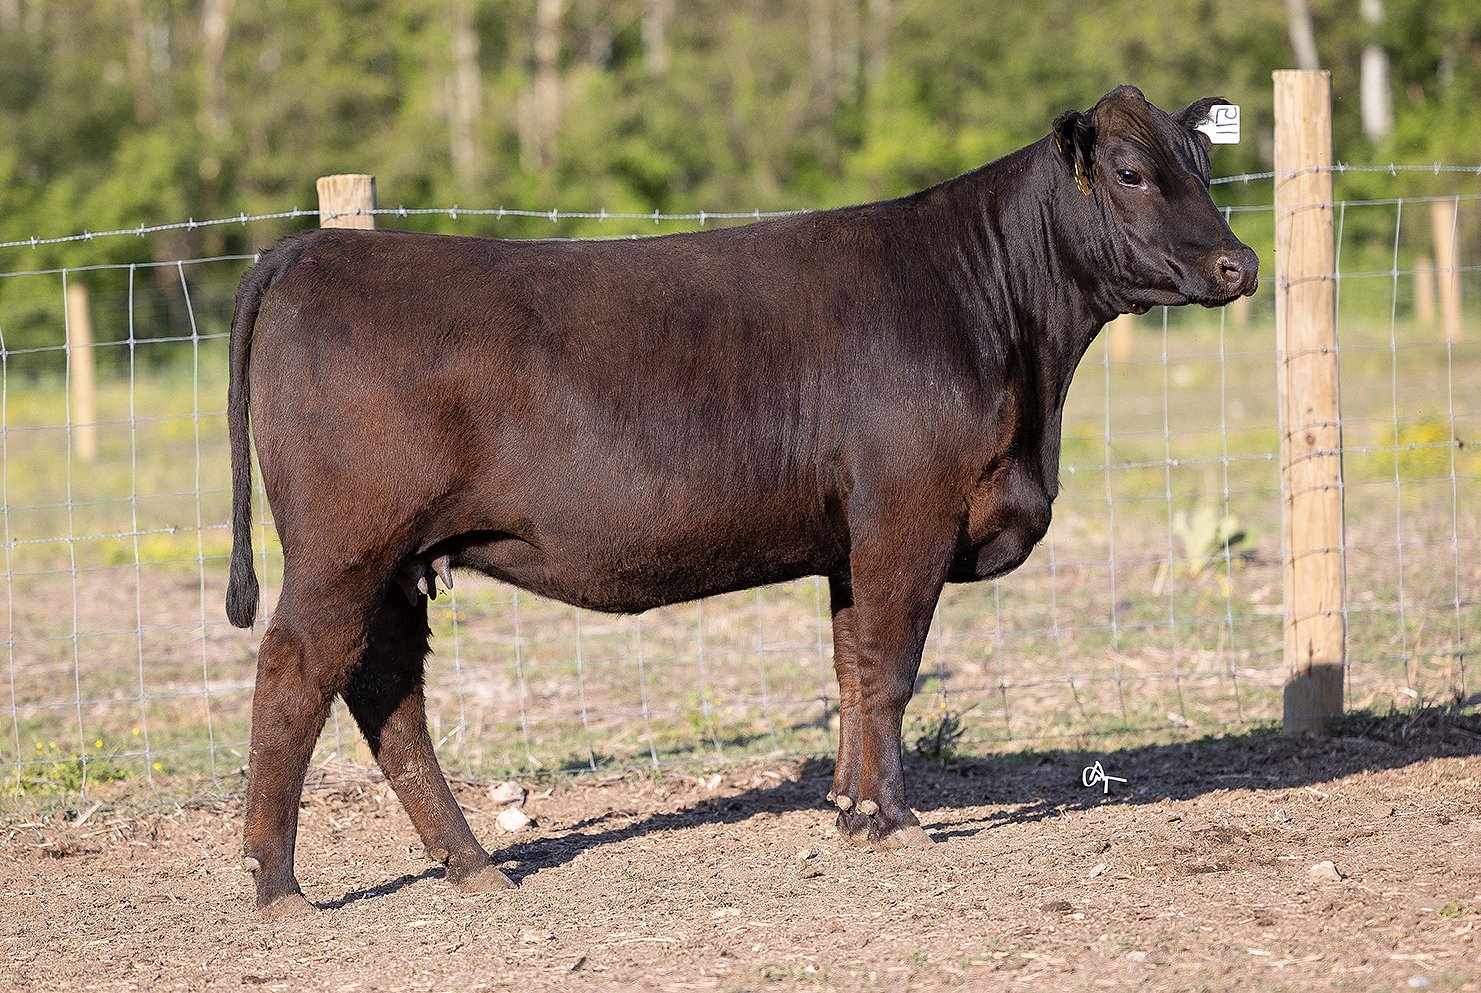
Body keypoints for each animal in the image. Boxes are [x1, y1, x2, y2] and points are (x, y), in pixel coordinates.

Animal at [225, 85, 1257, 917]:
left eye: (1203, 165)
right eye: (1130, 171)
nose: (1238, 265)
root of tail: (312, 250)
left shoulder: (849, 540)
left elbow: (851, 671)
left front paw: (852, 810)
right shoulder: (907, 514)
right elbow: (891, 672)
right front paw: (898, 819)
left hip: (398, 564)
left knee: (386, 695)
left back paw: (472, 862)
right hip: (344, 548)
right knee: (294, 674)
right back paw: (278, 885)